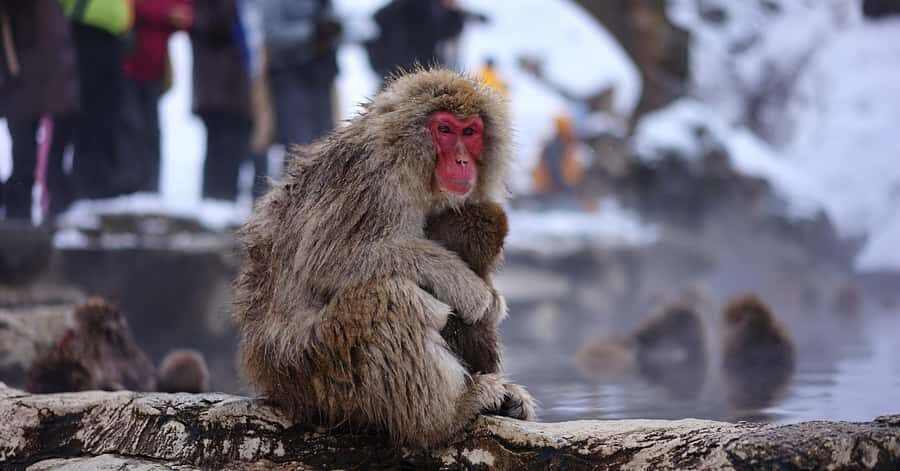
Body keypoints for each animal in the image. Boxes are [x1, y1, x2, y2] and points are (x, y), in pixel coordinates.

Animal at [234, 68, 535, 448]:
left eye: (470, 132)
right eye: (445, 129)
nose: (463, 161)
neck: (411, 166)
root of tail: (271, 382)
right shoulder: (372, 181)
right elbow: (329, 261)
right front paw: (468, 287)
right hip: (317, 371)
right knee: (391, 297)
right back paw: (444, 416)